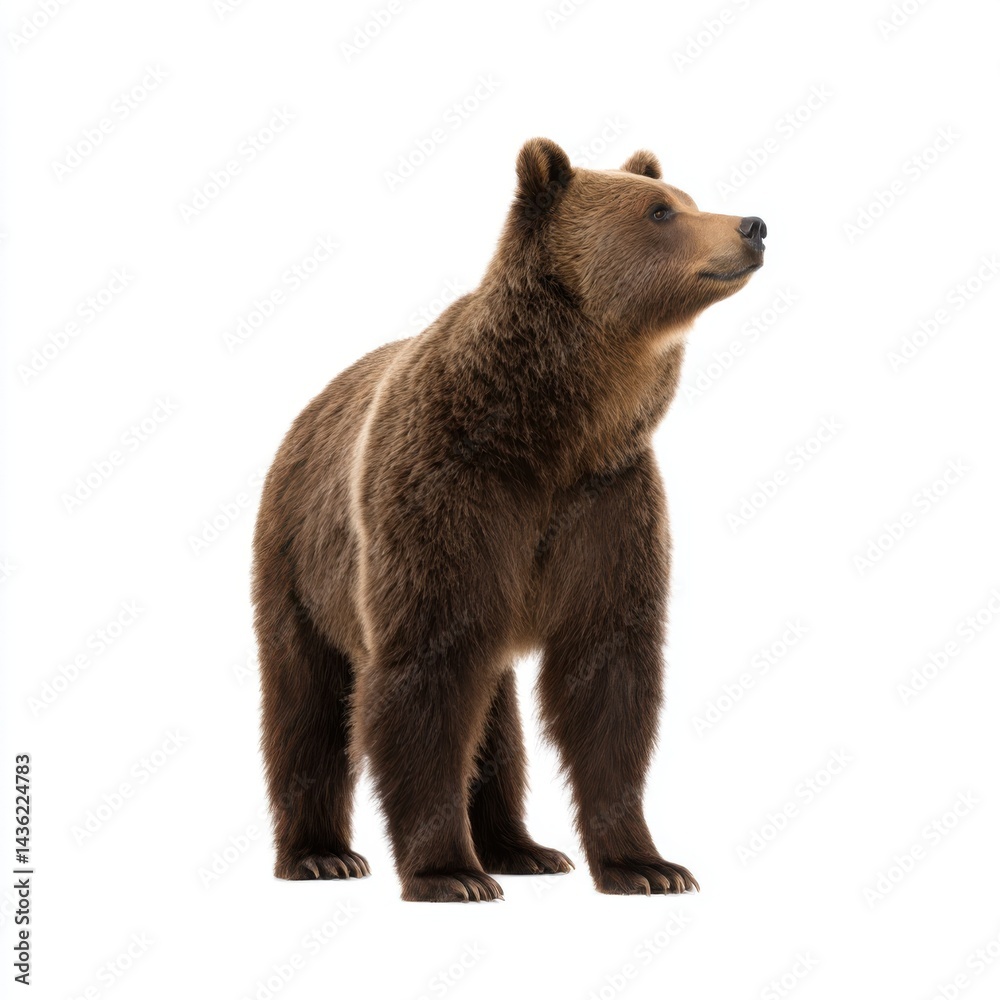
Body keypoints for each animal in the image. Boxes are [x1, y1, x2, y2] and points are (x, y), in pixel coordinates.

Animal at [252, 138, 766, 901]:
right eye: (660, 211)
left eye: (688, 199)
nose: (752, 226)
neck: (553, 431)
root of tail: (308, 408)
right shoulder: (446, 493)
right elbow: (425, 675)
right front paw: (449, 872)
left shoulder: (607, 501)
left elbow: (609, 675)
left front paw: (647, 865)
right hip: (300, 560)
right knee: (306, 698)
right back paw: (322, 855)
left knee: (495, 716)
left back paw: (520, 848)